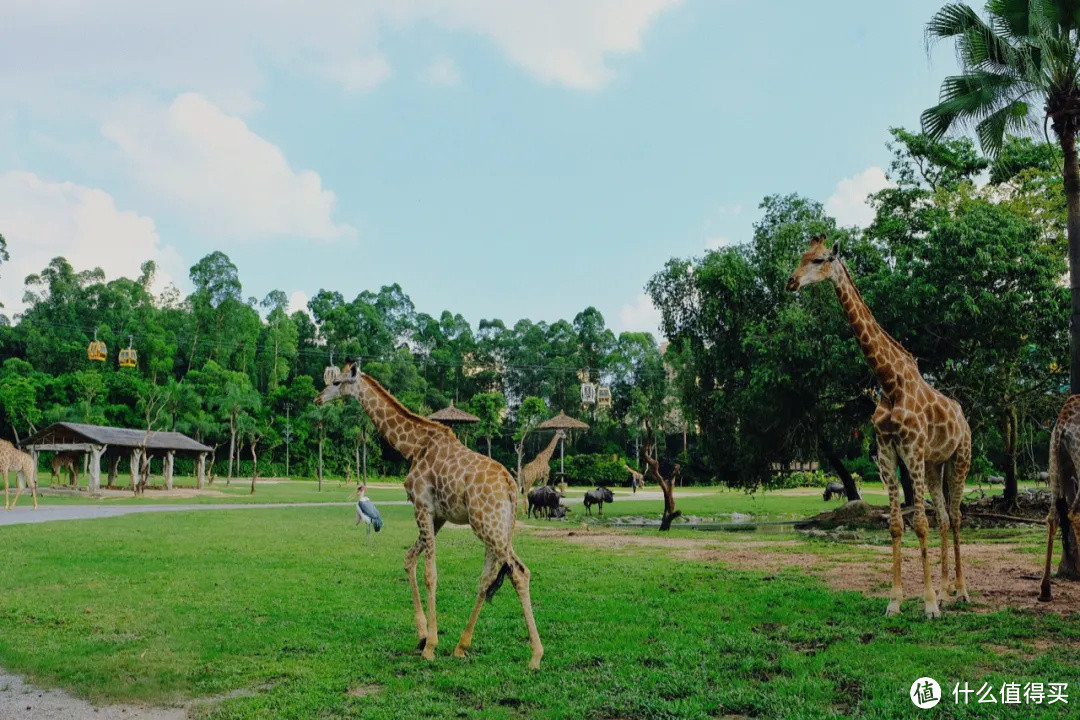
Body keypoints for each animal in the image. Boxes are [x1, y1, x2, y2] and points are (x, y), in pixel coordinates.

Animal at [315, 362, 544, 673]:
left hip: (488, 527)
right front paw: (423, 635)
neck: (413, 446)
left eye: (337, 382)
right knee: (487, 578)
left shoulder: (422, 507)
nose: (318, 399)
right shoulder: (438, 516)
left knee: (519, 572)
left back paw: (535, 656)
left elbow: (430, 573)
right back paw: (461, 646)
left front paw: (431, 646)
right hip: (494, 527)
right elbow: (409, 560)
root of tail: (511, 487)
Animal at [790, 236, 976, 621]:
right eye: (800, 257)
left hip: (960, 458)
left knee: (957, 516)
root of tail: (964, 417)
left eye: (819, 260)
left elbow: (918, 523)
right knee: (944, 518)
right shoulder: (888, 453)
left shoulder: (913, 449)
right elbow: (895, 525)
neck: (889, 383)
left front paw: (928, 605)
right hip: (935, 465)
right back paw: (947, 590)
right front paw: (896, 602)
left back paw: (961, 591)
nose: (791, 282)